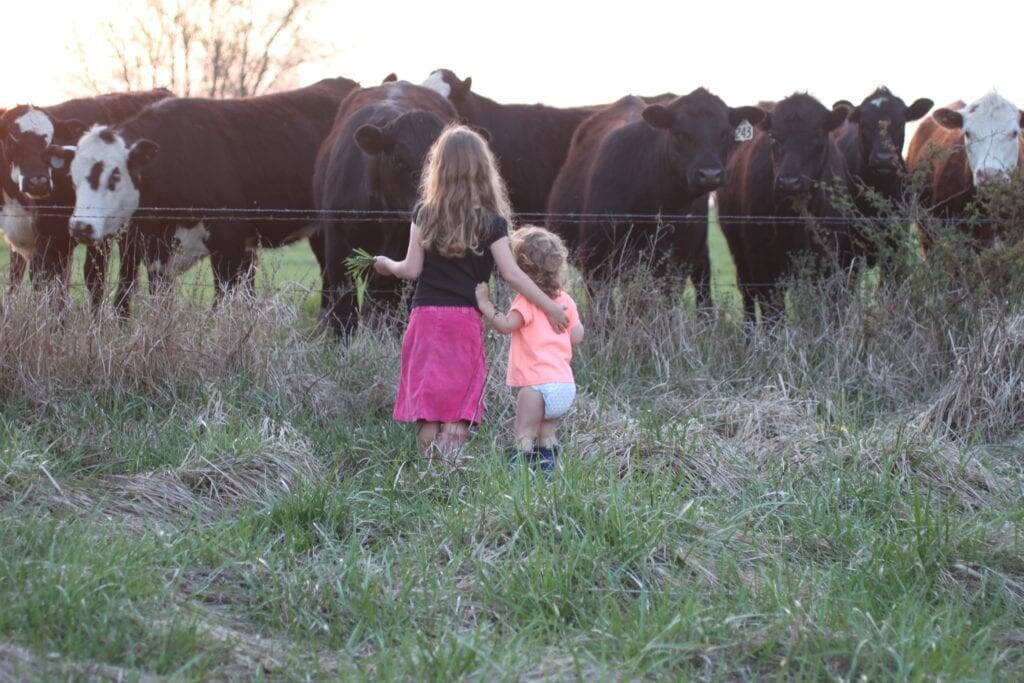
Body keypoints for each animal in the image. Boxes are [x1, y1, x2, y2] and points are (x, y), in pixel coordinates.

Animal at [0, 89, 173, 309]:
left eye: (51, 142)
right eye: (11, 141)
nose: (38, 182)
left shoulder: (65, 237)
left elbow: (82, 281)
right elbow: (19, 280)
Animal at [54, 75, 362, 305]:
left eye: (115, 175)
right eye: (73, 178)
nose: (80, 227)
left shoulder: (229, 247)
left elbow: (222, 305)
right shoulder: (156, 255)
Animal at [720, 93, 856, 325]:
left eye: (817, 135)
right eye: (774, 137)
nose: (789, 183)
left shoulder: (827, 257)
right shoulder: (761, 260)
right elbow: (773, 312)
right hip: (738, 252)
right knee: (748, 294)